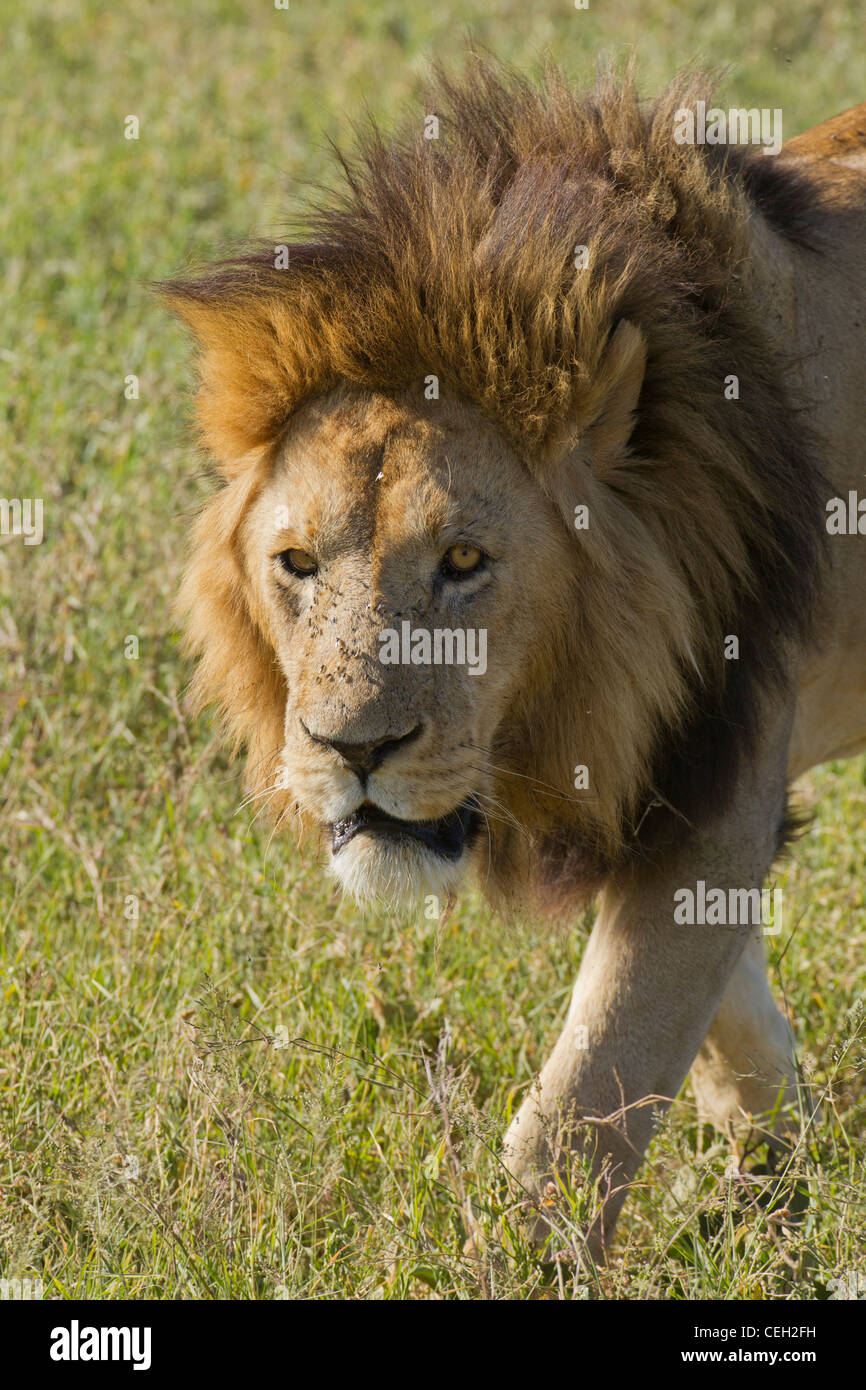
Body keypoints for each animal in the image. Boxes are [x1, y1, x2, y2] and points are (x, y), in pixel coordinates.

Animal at [162, 59, 866, 1256]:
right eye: (296, 562)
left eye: (462, 561)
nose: (351, 749)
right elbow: (722, 1014)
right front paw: (780, 1169)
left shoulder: (718, 774)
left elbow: (581, 1107)